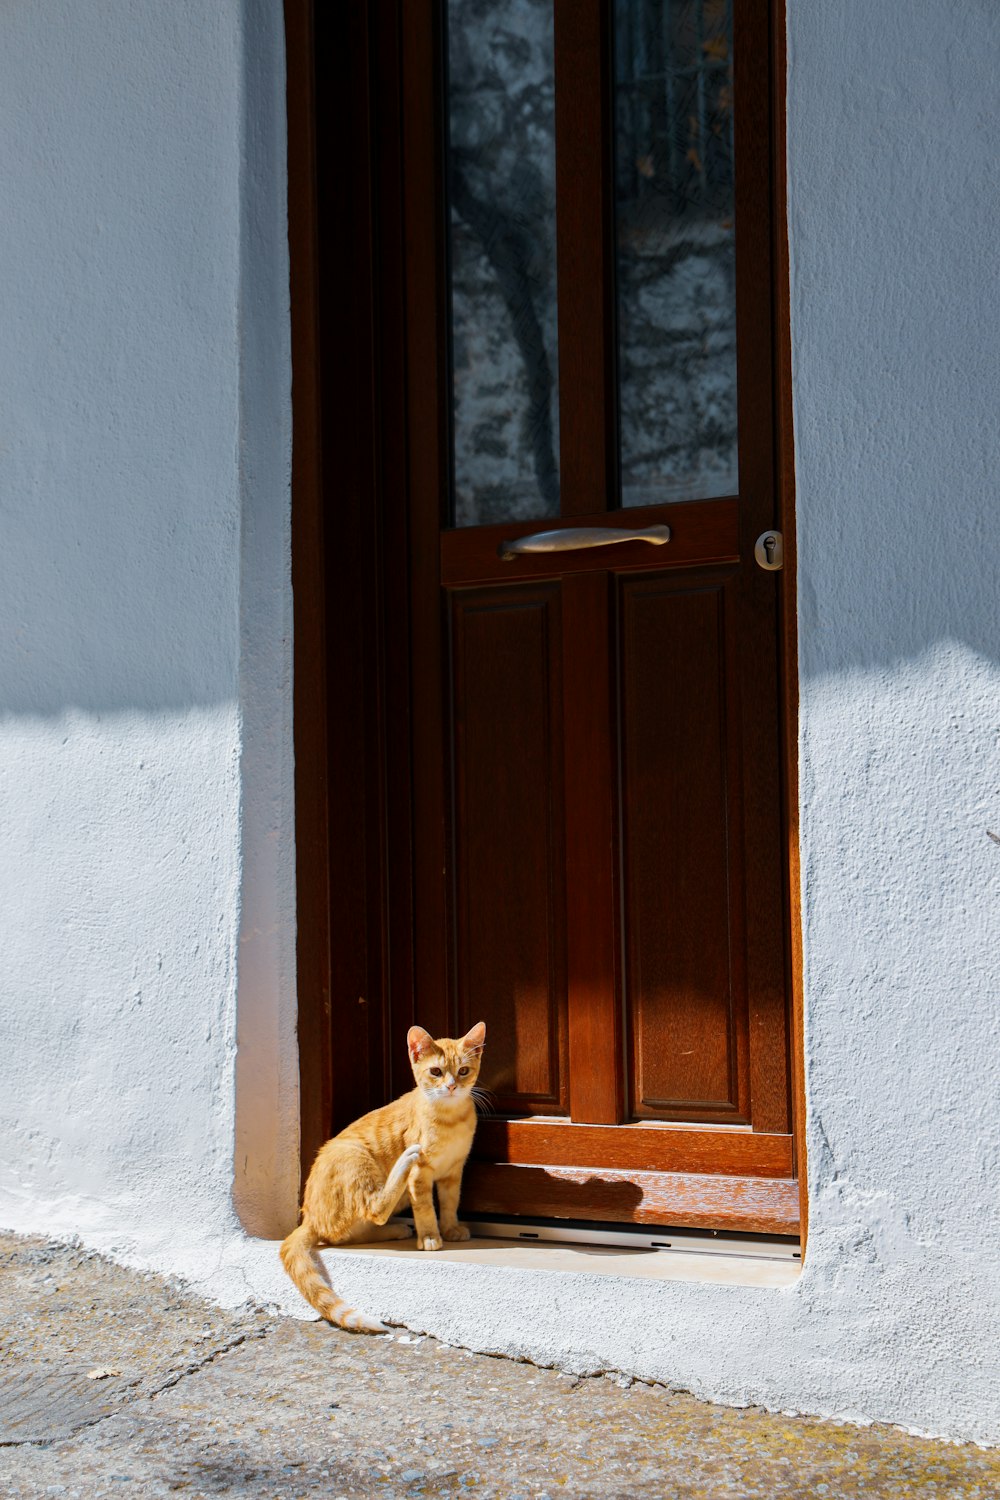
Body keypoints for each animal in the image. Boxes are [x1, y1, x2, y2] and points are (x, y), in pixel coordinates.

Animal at [280, 1026, 485, 1332]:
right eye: (436, 1071)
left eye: (463, 1071)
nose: (451, 1086)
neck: (451, 1119)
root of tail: (309, 1218)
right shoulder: (421, 1176)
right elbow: (426, 1208)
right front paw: (430, 1237)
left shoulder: (453, 1173)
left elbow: (450, 1204)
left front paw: (450, 1229)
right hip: (355, 1156)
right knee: (374, 1208)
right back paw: (403, 1163)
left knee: (352, 1231)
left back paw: (395, 1229)